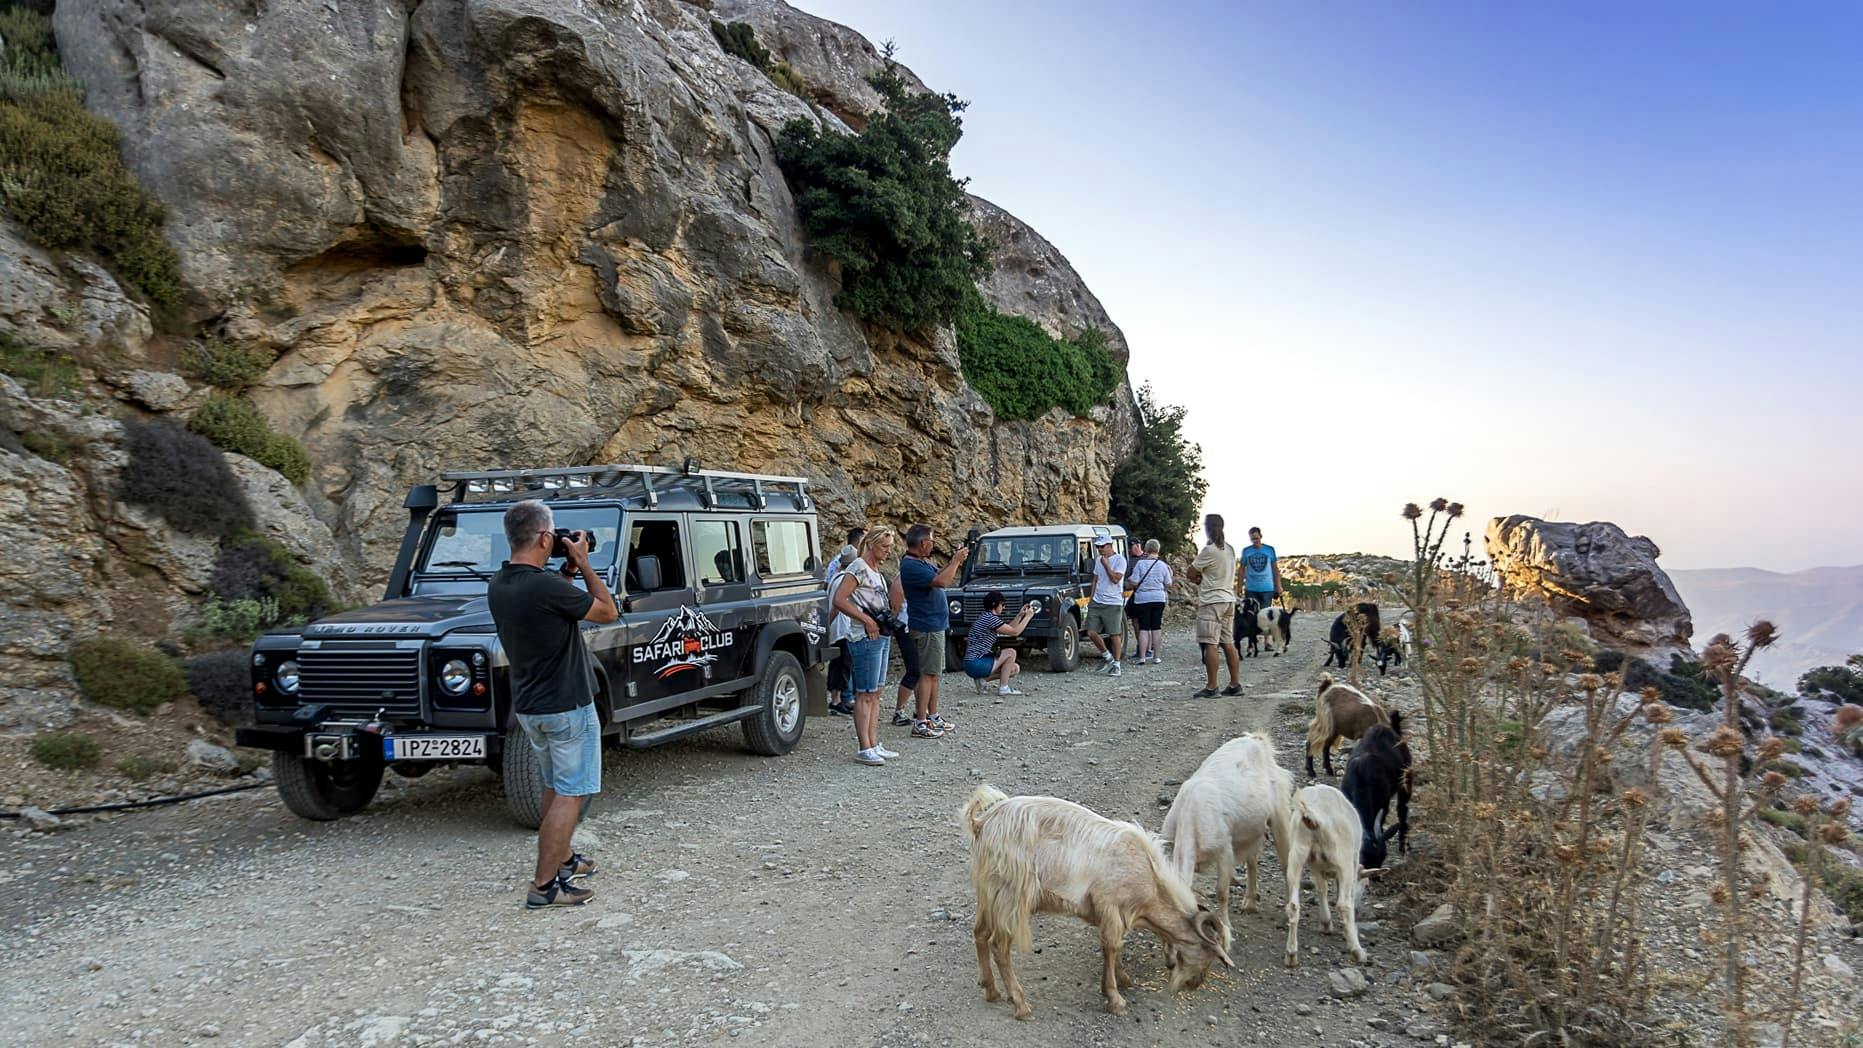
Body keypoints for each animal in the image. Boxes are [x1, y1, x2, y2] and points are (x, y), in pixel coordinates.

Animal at [961, 789, 1237, 1020]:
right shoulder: (1110, 905)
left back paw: (991, 990)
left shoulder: (1109, 914)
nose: (1195, 984)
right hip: (1010, 897)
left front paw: (1119, 980)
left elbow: (1110, 948)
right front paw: (1116, 999)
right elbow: (1113, 946)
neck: (1149, 875)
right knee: (999, 947)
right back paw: (1020, 1004)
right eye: (1209, 954)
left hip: (989, 894)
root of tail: (982, 824)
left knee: (980, 933)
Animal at [1162, 733, 1296, 938]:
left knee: (1285, 862)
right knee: (1252, 861)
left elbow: (1221, 892)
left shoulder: (1224, 850)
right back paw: (1249, 903)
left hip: (1279, 814)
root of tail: (1257, 740)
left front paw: (1226, 927)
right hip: (1252, 830)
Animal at [1281, 789, 1371, 967]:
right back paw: (1358, 952)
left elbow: (1321, 888)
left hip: (1297, 853)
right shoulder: (1352, 861)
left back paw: (1291, 954)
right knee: (1343, 905)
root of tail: (1312, 816)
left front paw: (1325, 923)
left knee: (1293, 905)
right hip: (1343, 858)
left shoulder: (1315, 865)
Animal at [1341, 711, 1408, 874]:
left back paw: (1403, 846)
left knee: (1402, 809)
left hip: (1406, 780)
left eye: (1382, 858)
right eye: (1364, 857)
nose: (1375, 877)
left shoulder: (1383, 803)